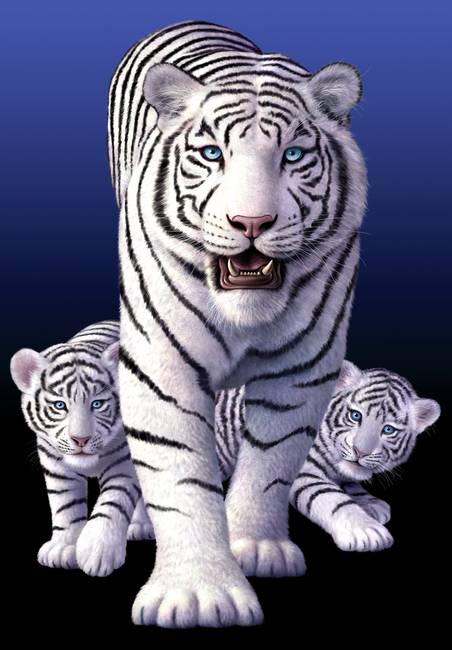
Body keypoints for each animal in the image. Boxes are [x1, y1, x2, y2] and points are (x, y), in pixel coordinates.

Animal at [10, 321, 153, 577]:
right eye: (60, 406)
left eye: (97, 404)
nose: (81, 439)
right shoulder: (56, 465)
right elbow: (66, 506)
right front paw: (63, 548)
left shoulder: (122, 463)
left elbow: (112, 502)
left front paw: (98, 552)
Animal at [109, 20, 367, 627]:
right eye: (210, 154)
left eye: (293, 154)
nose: (251, 222)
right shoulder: (161, 367)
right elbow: (179, 477)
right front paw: (199, 595)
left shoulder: (304, 369)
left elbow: (271, 462)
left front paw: (257, 548)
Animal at [215, 361, 441, 552]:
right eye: (355, 416)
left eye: (388, 430)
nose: (361, 451)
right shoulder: (304, 471)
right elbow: (333, 497)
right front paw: (365, 529)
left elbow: (352, 485)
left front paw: (371, 503)